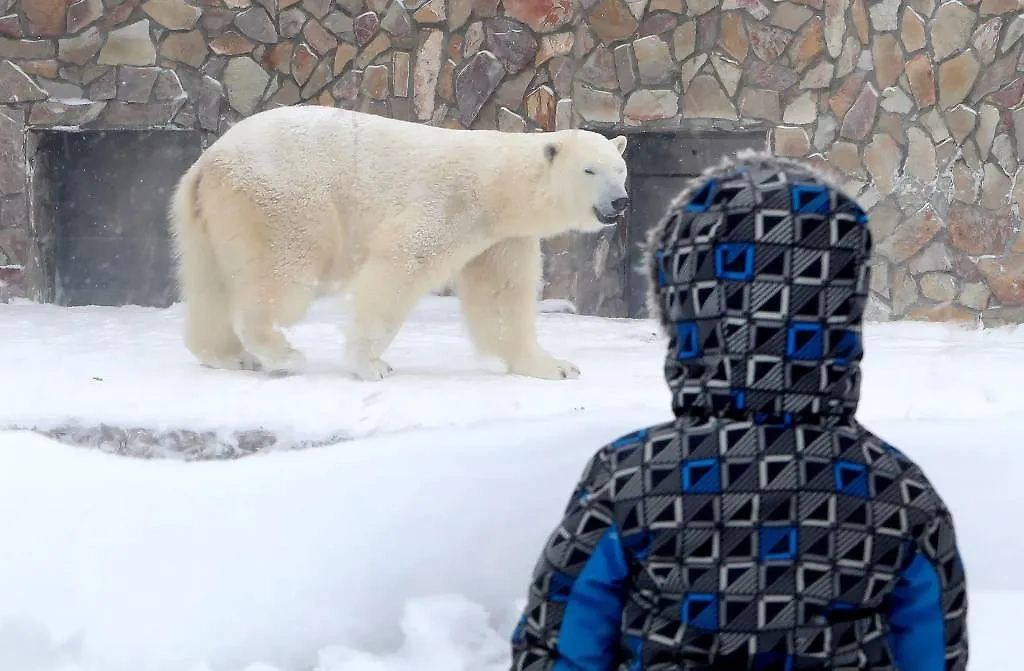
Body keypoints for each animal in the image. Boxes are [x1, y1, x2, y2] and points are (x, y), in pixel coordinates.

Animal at [169, 108, 622, 385]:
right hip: (280, 202)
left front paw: (556, 366)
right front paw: (370, 365)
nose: (620, 202)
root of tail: (209, 160)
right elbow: (400, 267)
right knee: (281, 278)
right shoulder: (449, 205)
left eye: (620, 169)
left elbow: (501, 298)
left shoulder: (500, 238)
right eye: (589, 170)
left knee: (208, 281)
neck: (495, 185)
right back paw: (283, 354)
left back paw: (228, 355)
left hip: (207, 215)